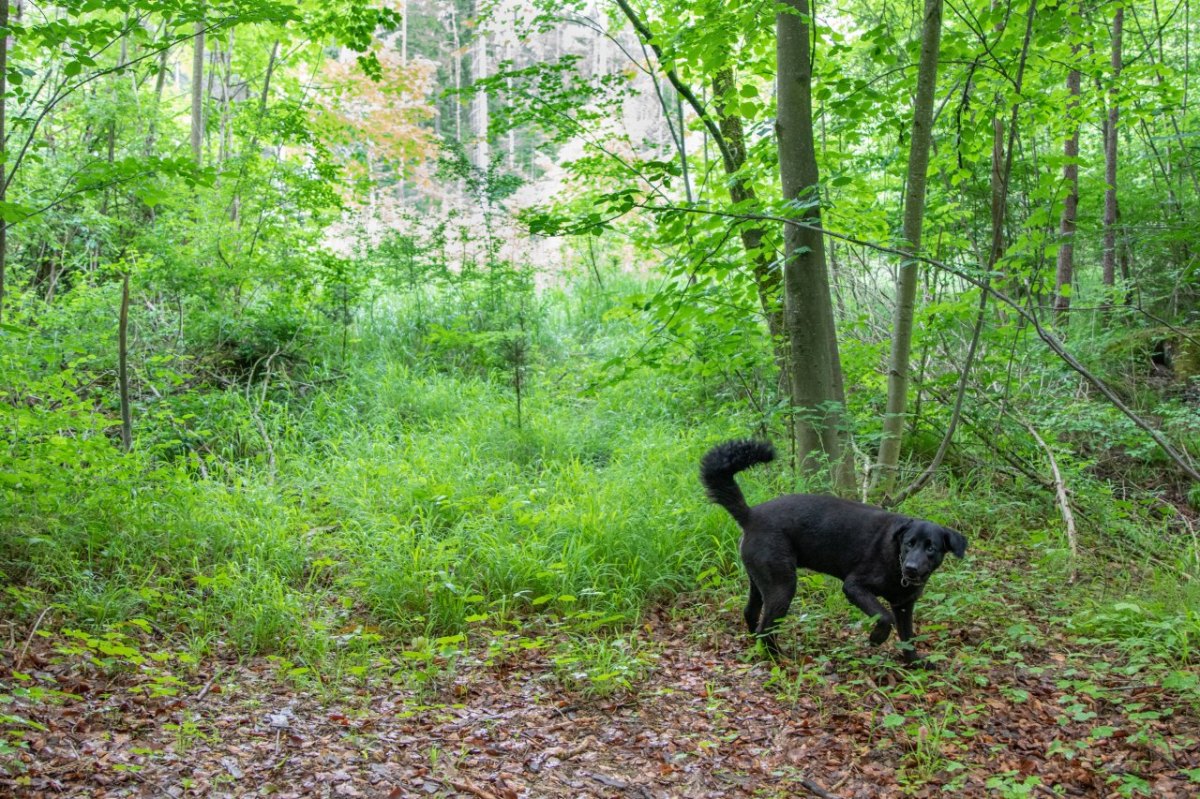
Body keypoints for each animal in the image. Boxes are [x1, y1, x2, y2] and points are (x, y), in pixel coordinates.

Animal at [700, 439, 964, 662]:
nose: (911, 568)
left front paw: (915, 663)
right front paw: (876, 638)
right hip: (782, 585)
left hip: (759, 580)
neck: (896, 561)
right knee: (767, 626)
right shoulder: (855, 586)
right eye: (909, 543)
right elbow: (884, 616)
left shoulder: (904, 605)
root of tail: (750, 515)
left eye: (931, 548)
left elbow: (908, 637)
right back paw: (778, 658)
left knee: (751, 613)